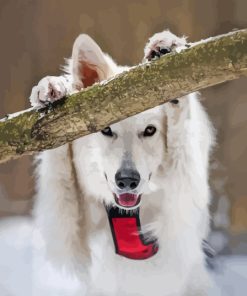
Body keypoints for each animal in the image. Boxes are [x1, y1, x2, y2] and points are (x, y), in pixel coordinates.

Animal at [29, 31, 214, 294]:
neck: (128, 213)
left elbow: (181, 140)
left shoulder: (179, 224)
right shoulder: (67, 239)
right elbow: (58, 157)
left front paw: (167, 51)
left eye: (150, 130)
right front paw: (52, 90)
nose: (127, 181)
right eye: (106, 130)